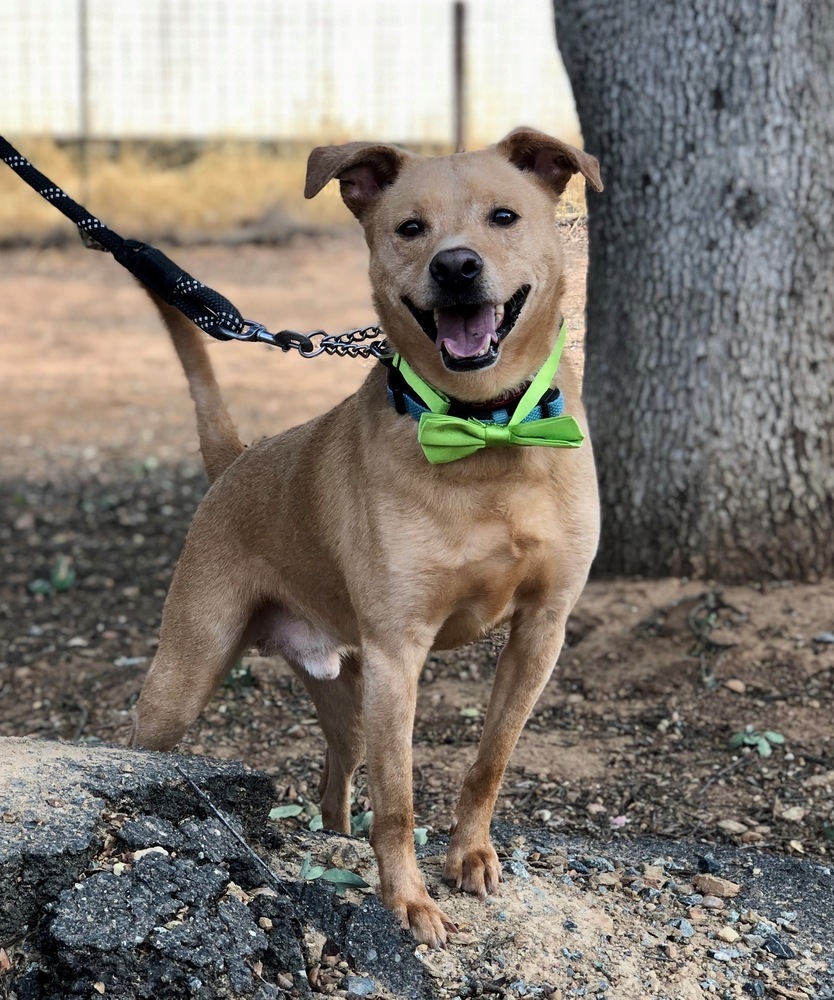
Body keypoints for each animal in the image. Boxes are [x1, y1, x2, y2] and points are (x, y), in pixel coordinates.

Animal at [130, 129, 600, 948]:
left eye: (503, 216)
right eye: (410, 228)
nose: (455, 265)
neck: (484, 431)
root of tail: (237, 459)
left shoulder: (542, 629)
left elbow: (490, 760)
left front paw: (470, 855)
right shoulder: (397, 654)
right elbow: (399, 800)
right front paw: (407, 900)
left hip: (346, 697)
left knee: (334, 780)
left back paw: (335, 835)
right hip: (188, 678)